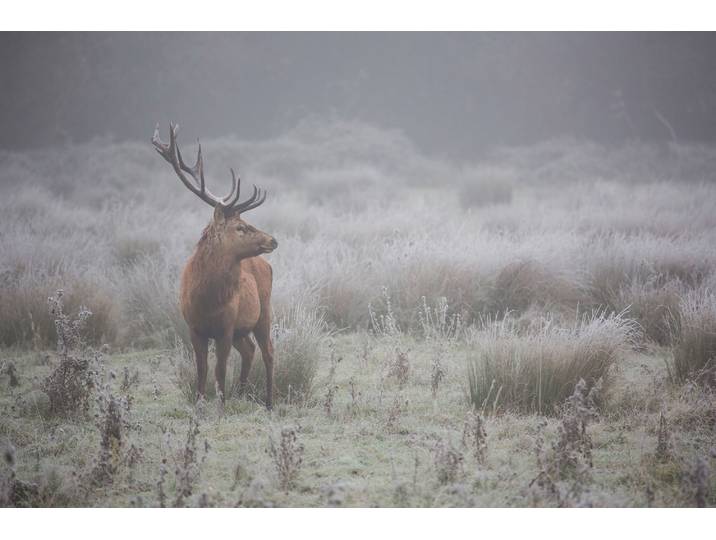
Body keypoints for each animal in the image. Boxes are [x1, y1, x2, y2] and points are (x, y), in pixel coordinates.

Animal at [152, 123, 278, 408]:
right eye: (240, 227)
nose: (273, 240)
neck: (207, 300)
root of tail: (267, 266)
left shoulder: (226, 327)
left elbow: (220, 370)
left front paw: (221, 405)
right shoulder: (194, 328)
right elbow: (202, 370)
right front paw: (201, 403)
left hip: (263, 311)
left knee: (268, 351)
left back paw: (269, 402)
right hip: (244, 328)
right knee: (250, 351)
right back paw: (242, 393)